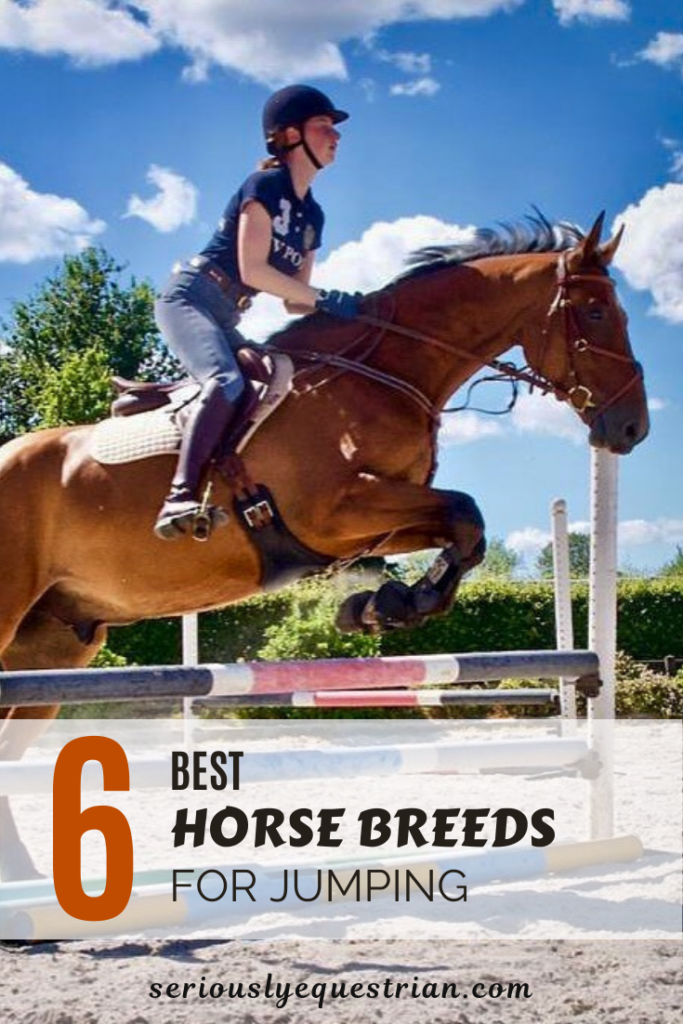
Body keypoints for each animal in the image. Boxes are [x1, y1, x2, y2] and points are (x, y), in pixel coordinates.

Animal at [0, 212, 648, 881]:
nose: (632, 427)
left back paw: (24, 878)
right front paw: (390, 604)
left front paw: (384, 606)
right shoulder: (333, 510)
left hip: (56, 647)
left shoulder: (374, 518)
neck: (383, 374)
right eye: (596, 311)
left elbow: (463, 529)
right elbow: (465, 511)